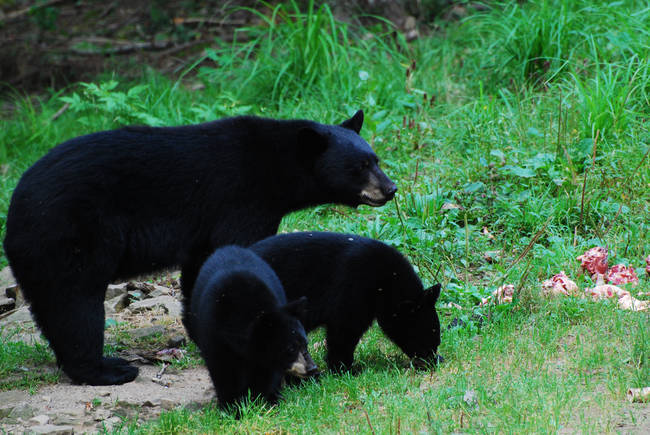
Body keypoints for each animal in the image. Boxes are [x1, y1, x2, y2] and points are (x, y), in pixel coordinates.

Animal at [3, 109, 394, 384]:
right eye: (360, 166)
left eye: (375, 159)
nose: (390, 189)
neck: (274, 168)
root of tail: (15, 210)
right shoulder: (241, 201)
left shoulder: (205, 232)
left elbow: (201, 270)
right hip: (73, 236)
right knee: (76, 303)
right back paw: (107, 370)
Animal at [189, 247, 318, 410]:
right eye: (290, 348)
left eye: (305, 343)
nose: (312, 368)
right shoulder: (213, 333)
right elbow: (222, 371)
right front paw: (231, 406)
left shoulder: (267, 357)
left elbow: (267, 376)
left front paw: (263, 401)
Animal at [248, 233, 440, 372]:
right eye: (428, 334)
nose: (432, 361)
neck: (385, 282)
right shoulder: (352, 286)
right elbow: (344, 330)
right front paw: (344, 368)